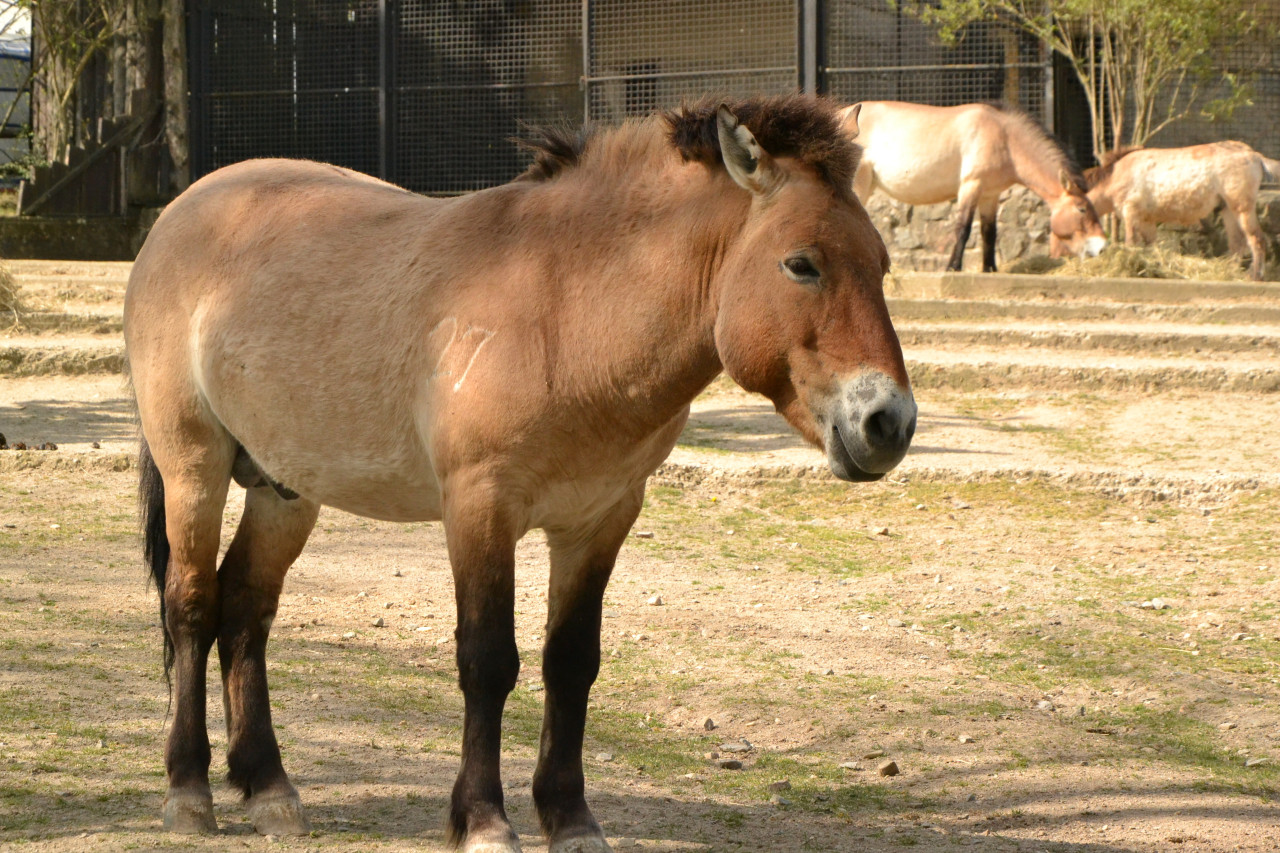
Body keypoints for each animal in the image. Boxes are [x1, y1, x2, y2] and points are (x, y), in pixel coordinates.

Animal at [124, 94, 916, 850]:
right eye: (801, 263)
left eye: (880, 264)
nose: (890, 422)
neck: (566, 312)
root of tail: (182, 211)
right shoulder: (481, 506)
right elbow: (487, 660)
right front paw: (482, 819)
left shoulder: (601, 519)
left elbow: (571, 662)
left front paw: (570, 819)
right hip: (195, 466)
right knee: (192, 604)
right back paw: (189, 791)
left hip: (285, 488)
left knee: (245, 608)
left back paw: (269, 789)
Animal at [839, 101, 1111, 270]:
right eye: (1082, 209)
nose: (1101, 247)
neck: (1004, 138)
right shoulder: (971, 186)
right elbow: (964, 228)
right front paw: (953, 267)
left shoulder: (990, 195)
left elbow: (989, 233)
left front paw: (990, 268)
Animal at [1080, 142, 1280, 279]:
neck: (1116, 175)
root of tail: (1255, 156)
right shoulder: (1147, 221)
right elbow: (1153, 248)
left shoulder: (1131, 214)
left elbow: (1131, 244)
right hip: (1228, 210)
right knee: (1237, 244)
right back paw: (1230, 272)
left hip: (1242, 208)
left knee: (1256, 239)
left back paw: (1255, 276)